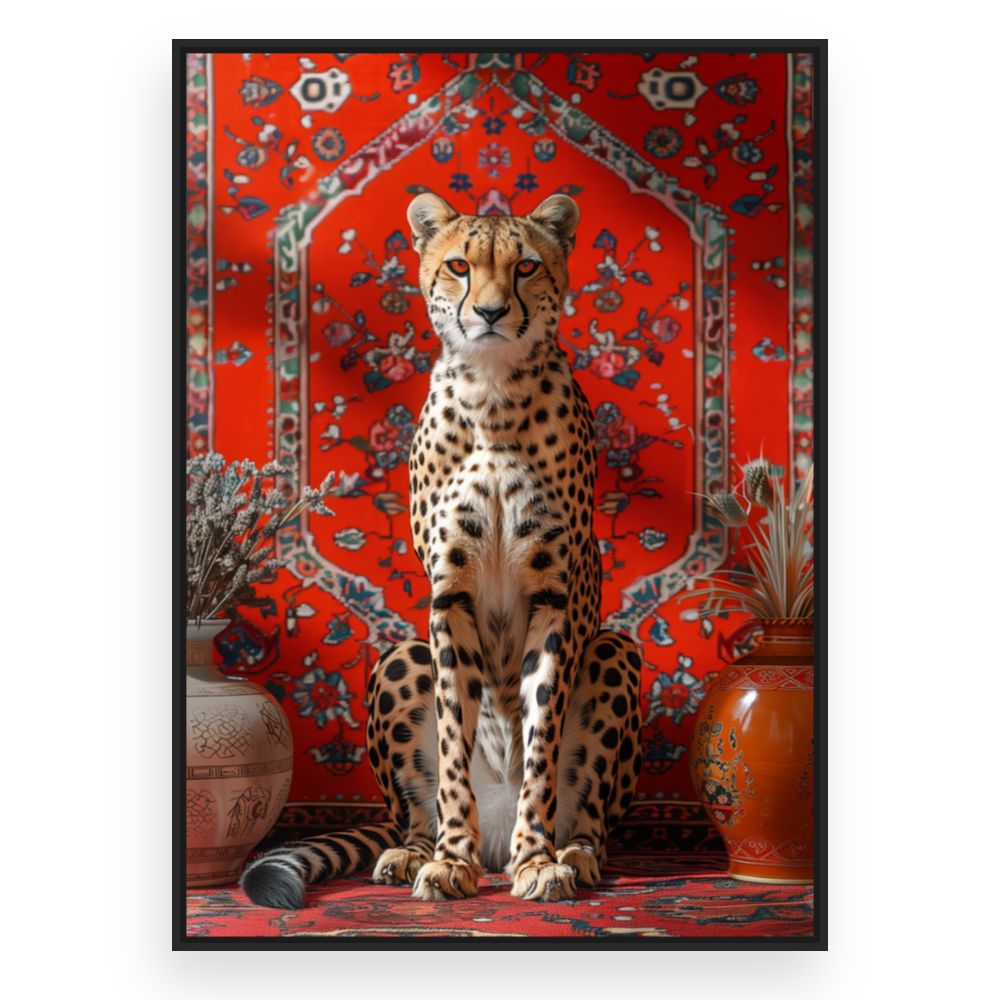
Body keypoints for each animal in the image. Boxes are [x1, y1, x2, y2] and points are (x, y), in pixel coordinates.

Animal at [241, 191, 643, 908]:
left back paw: (572, 853)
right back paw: (416, 852)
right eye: (460, 265)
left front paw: (538, 861)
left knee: (592, 817)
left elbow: (539, 746)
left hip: (612, 651)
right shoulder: (448, 598)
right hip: (399, 657)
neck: (494, 394)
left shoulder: (555, 597)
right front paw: (451, 859)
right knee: (412, 813)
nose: (489, 312)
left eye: (526, 266)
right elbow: (456, 736)